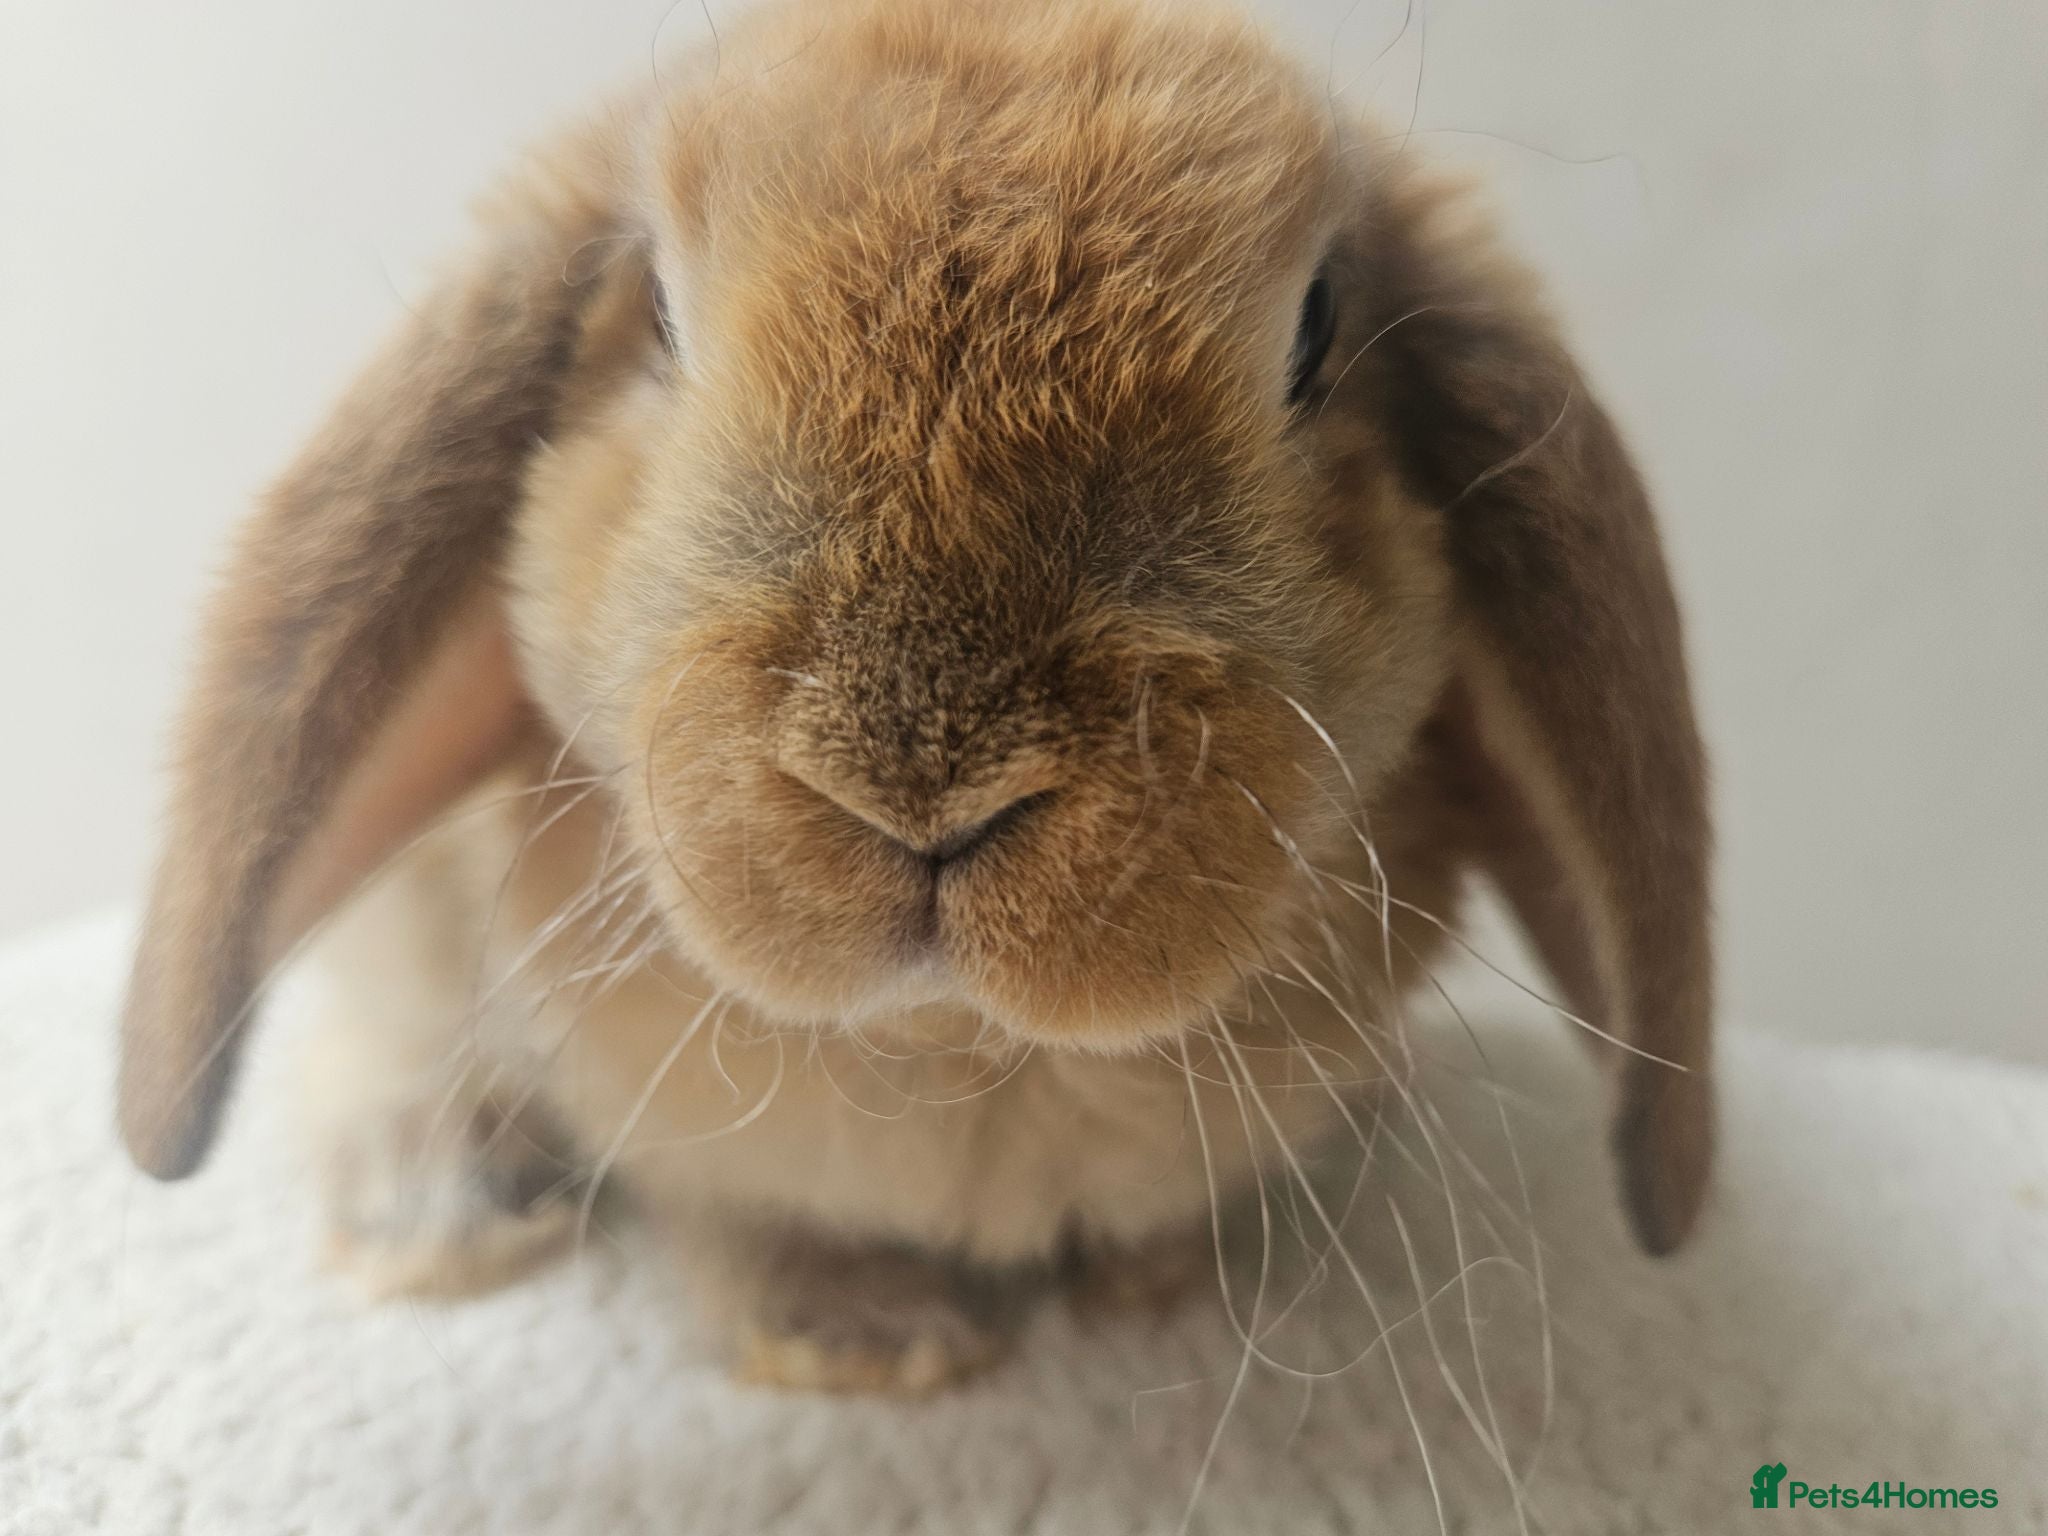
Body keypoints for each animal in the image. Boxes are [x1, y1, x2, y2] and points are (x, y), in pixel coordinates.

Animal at [116, 0, 1714, 1396]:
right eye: (658, 316)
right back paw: (441, 1204)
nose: (921, 787)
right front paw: (872, 1343)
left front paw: (1159, 1281)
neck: (954, 1045)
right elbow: (732, 1219)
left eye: (1318, 330)